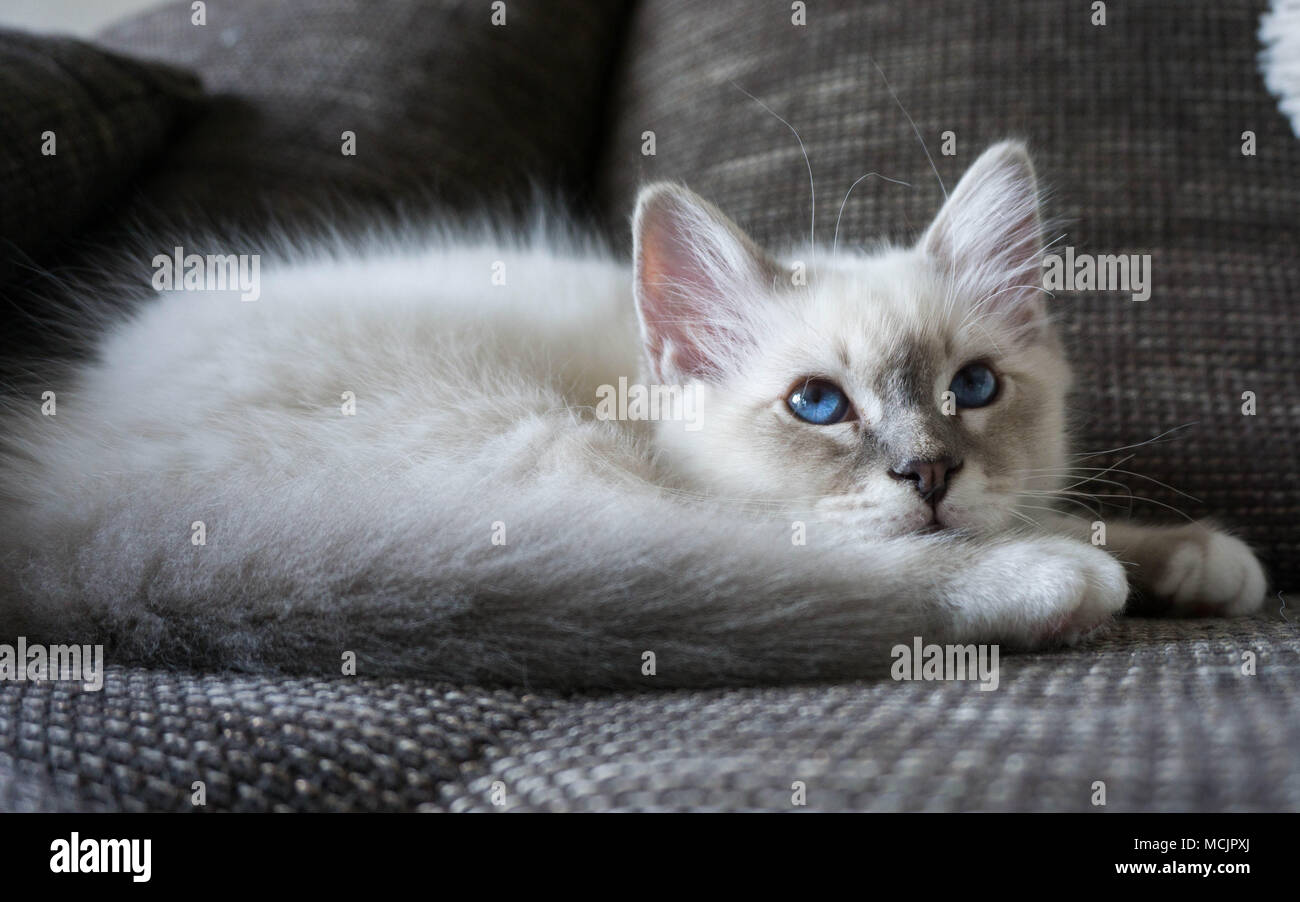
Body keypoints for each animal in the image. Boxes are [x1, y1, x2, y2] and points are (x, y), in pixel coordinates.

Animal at [0, 144, 1263, 691]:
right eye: (818, 403)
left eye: (974, 389)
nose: (929, 474)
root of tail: (65, 503)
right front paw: (1068, 564)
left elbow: (1067, 508)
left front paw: (1197, 558)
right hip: (522, 468)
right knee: (751, 567)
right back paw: (1043, 582)